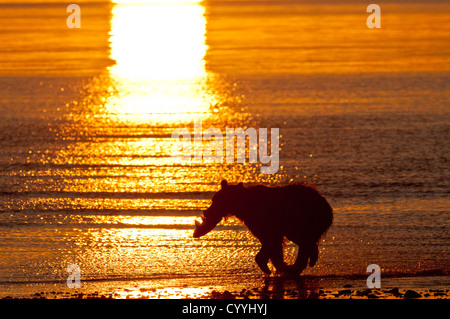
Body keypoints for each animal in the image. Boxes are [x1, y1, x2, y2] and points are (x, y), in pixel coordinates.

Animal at [193, 181, 334, 276]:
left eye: (217, 201)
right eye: (214, 200)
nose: (206, 212)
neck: (244, 207)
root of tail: (326, 203)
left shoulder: (265, 221)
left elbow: (271, 241)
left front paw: (273, 267)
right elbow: (271, 245)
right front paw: (279, 266)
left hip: (302, 218)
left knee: (304, 241)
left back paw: (296, 267)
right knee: (307, 242)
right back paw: (306, 262)